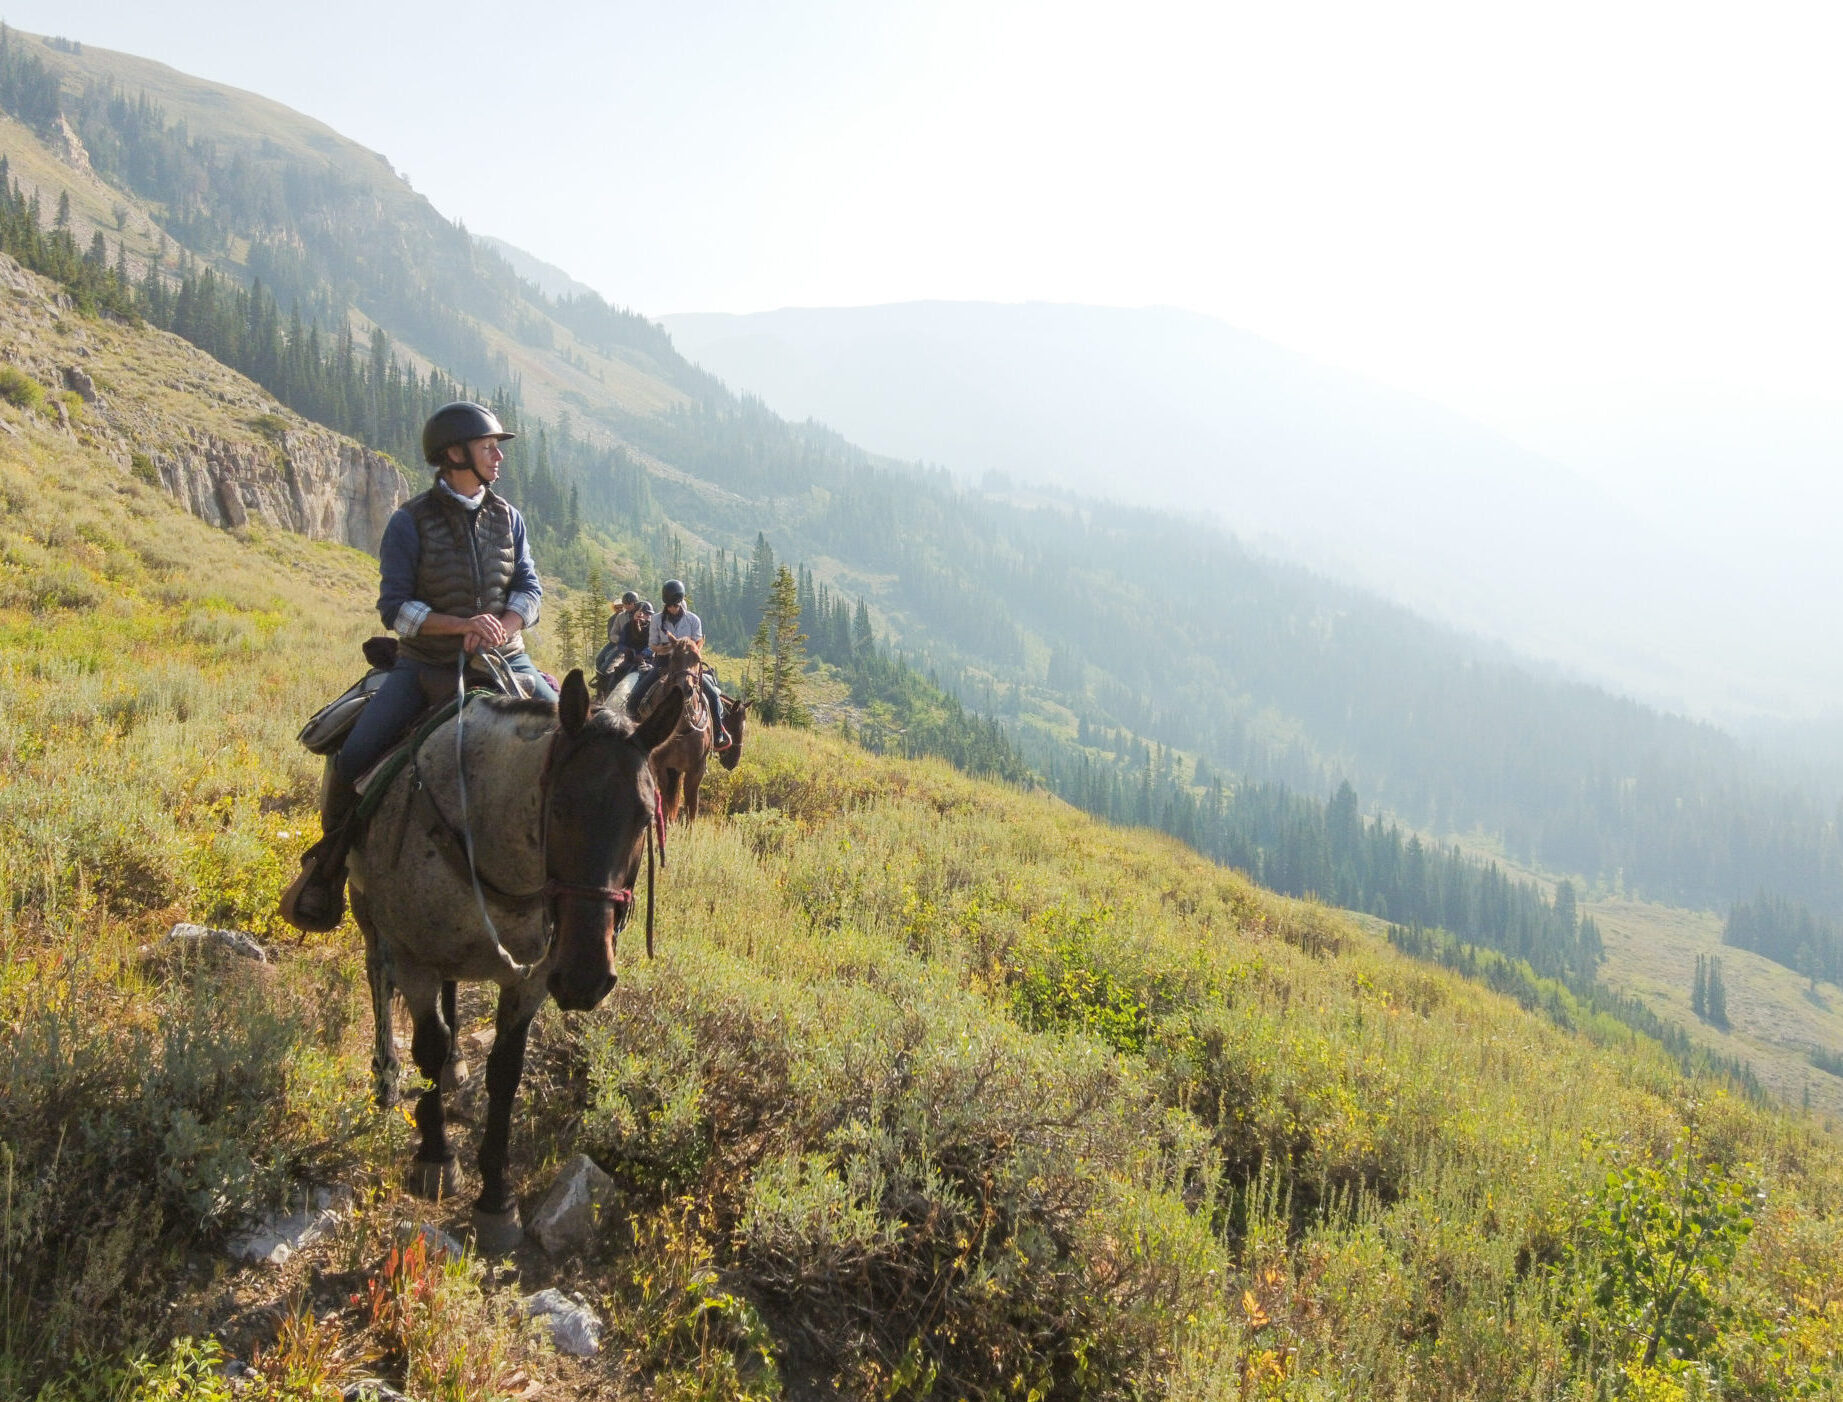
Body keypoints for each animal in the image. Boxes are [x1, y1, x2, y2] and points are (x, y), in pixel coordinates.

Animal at [347, 668, 683, 1251]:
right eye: (559, 807)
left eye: (644, 818)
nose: (584, 978)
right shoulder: (415, 960)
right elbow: (426, 1045)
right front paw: (436, 1157)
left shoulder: (530, 980)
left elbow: (505, 1072)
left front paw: (496, 1198)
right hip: (365, 910)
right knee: (377, 979)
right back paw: (386, 1076)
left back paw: (456, 1063)